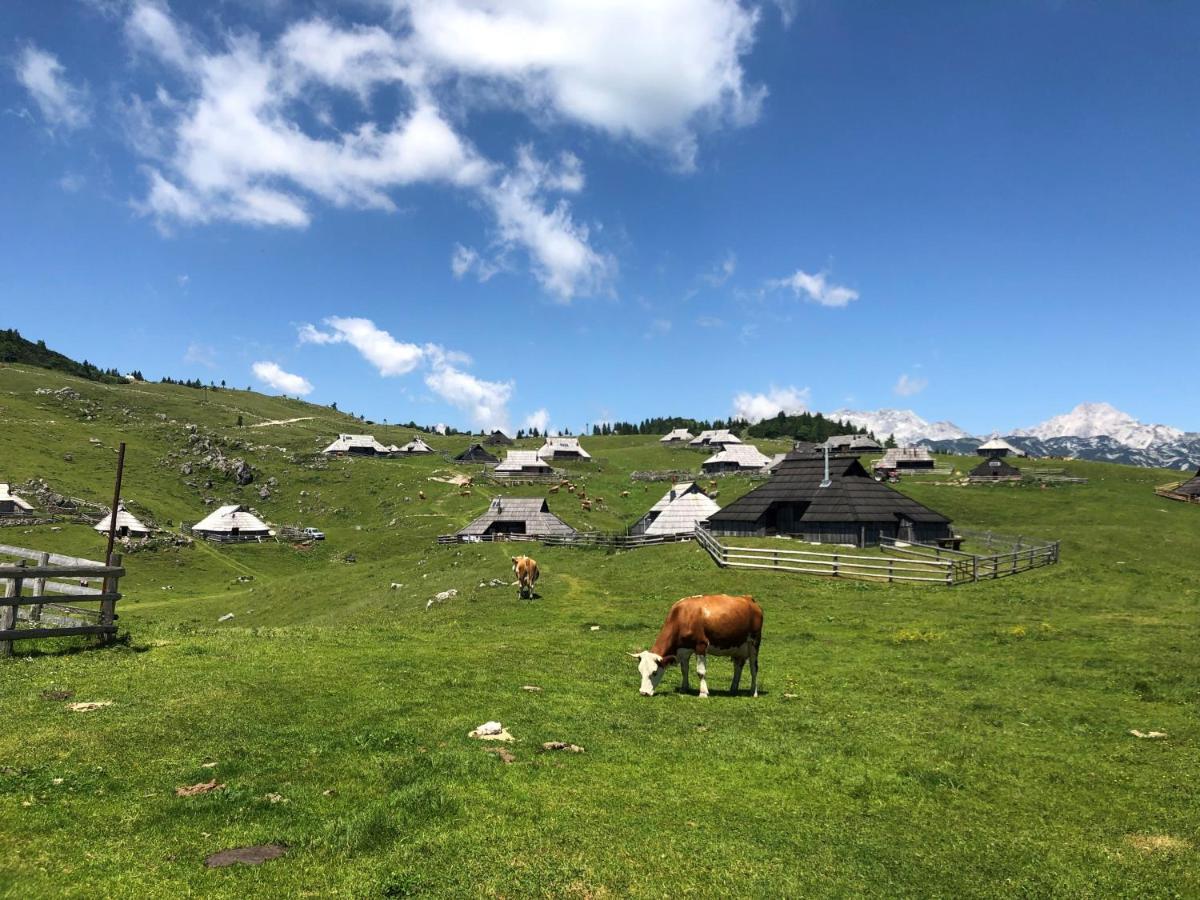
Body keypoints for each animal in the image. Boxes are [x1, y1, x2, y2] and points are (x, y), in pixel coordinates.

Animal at [633, 595, 763, 700]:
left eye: (654, 672)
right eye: (640, 672)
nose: (643, 693)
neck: (683, 616)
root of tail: (749, 598)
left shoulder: (701, 646)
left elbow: (701, 672)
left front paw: (703, 693)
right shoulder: (684, 650)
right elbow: (684, 670)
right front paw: (684, 688)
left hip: (754, 643)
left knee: (754, 668)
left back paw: (754, 692)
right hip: (738, 647)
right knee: (738, 667)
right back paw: (733, 689)